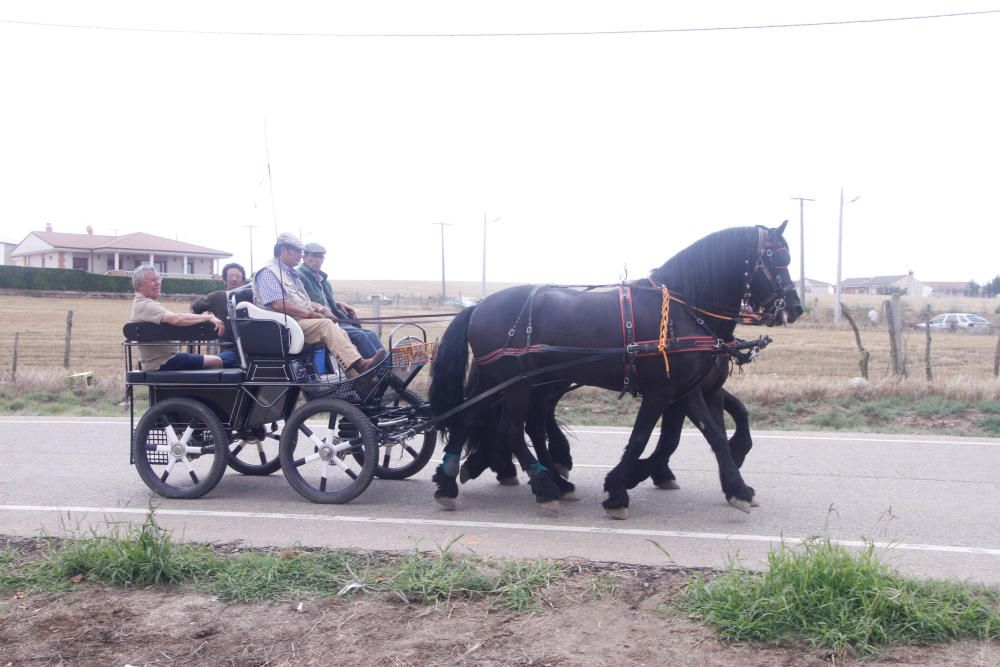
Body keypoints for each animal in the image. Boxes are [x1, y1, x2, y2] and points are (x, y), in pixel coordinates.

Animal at [426, 224, 800, 516]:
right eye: (774, 257)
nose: (795, 308)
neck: (683, 310)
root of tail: (478, 306)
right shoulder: (661, 392)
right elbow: (641, 438)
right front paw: (619, 488)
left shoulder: (689, 390)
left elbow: (713, 435)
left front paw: (737, 488)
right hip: (517, 381)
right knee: (512, 428)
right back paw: (545, 486)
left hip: (502, 378)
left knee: (470, 417)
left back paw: (449, 482)